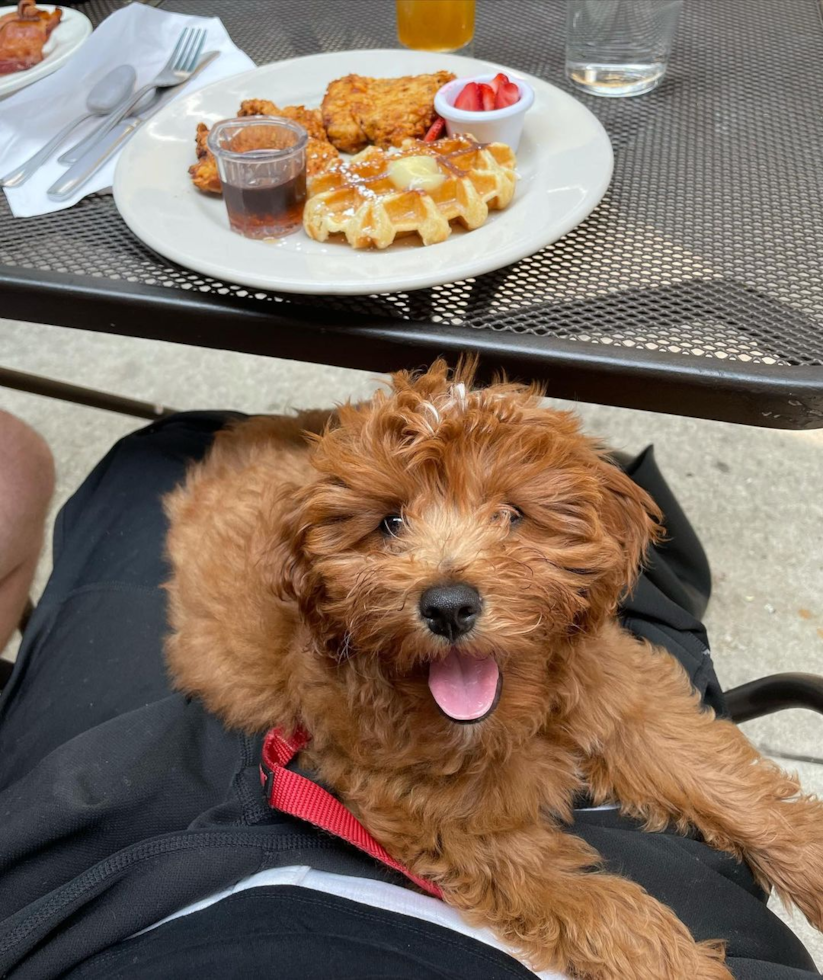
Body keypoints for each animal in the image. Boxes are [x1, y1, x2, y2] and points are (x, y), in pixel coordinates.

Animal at [163, 360, 823, 980]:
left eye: (511, 515)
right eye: (390, 523)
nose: (448, 605)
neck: (510, 712)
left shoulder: (623, 695)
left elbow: (720, 778)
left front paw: (810, 854)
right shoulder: (432, 813)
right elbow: (583, 897)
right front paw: (672, 961)